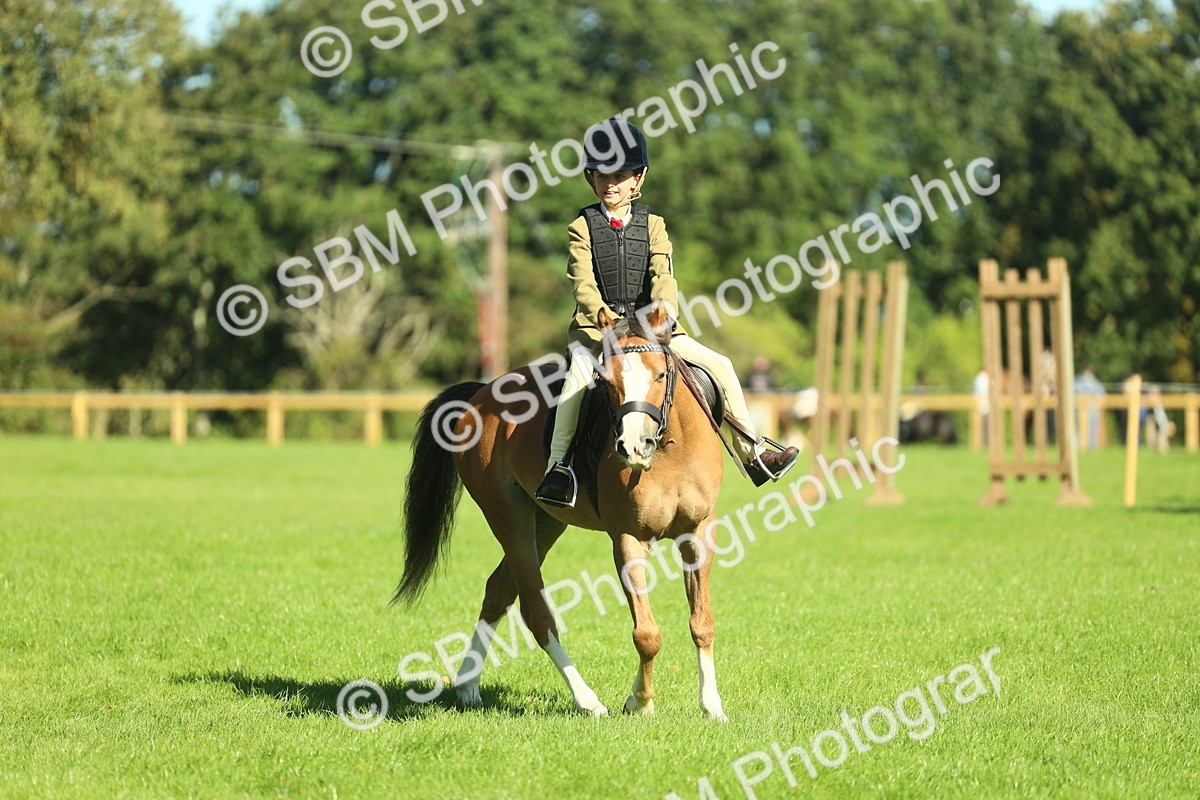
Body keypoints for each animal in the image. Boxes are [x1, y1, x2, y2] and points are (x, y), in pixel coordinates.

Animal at [393, 304, 730, 720]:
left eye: (661, 374)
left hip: (547, 522)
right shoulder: (628, 539)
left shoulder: (698, 533)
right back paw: (587, 700)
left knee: (498, 591)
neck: (669, 450)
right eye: (608, 381)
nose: (633, 446)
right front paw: (640, 701)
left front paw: (711, 705)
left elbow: (702, 623)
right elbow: (647, 634)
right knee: (534, 611)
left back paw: (468, 687)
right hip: (510, 520)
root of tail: (480, 395)